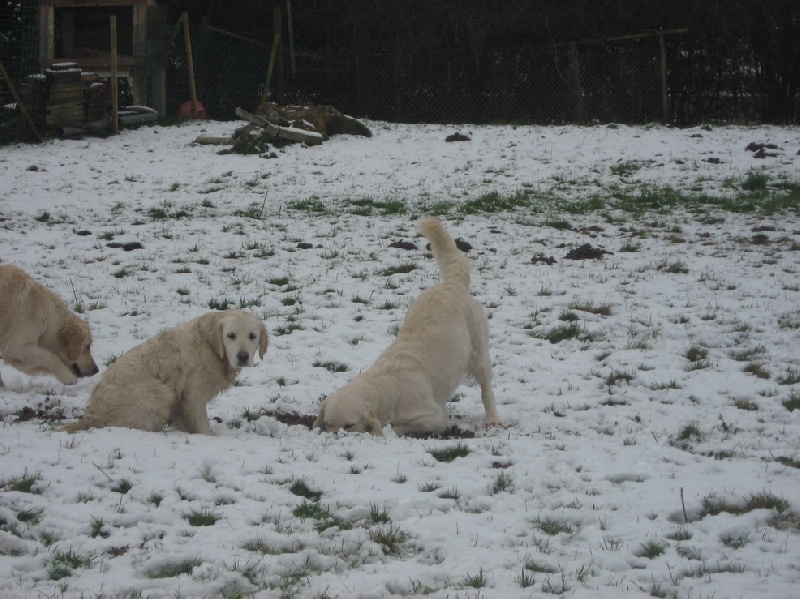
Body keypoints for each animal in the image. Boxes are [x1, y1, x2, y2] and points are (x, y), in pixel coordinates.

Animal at [61, 310, 268, 436]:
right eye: (230, 336)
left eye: (252, 336)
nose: (243, 356)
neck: (211, 346)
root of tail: (90, 416)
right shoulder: (193, 395)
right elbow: (202, 424)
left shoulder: (182, 399)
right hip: (161, 392)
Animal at [314, 216, 496, 436]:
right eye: (328, 424)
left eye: (349, 425)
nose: (335, 436)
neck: (388, 387)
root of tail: (452, 283)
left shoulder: (432, 417)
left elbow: (395, 425)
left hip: (478, 355)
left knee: (486, 389)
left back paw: (493, 419)